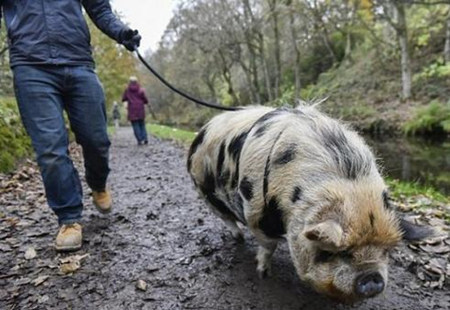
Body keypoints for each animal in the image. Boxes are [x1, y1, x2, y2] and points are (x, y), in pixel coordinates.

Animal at [187, 105, 432, 302]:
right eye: (337, 252)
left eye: (387, 251)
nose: (371, 278)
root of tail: (205, 127)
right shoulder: (255, 213)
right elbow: (268, 245)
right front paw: (264, 274)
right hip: (204, 189)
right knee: (224, 216)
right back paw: (237, 238)